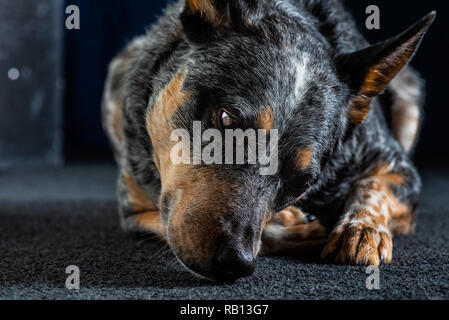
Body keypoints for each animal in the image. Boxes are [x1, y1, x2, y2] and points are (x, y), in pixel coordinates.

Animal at [102, 0, 434, 282]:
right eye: (226, 119)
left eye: (302, 182)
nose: (235, 263)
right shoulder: (134, 212)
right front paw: (296, 228)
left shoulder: (397, 165)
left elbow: (373, 186)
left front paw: (364, 229)